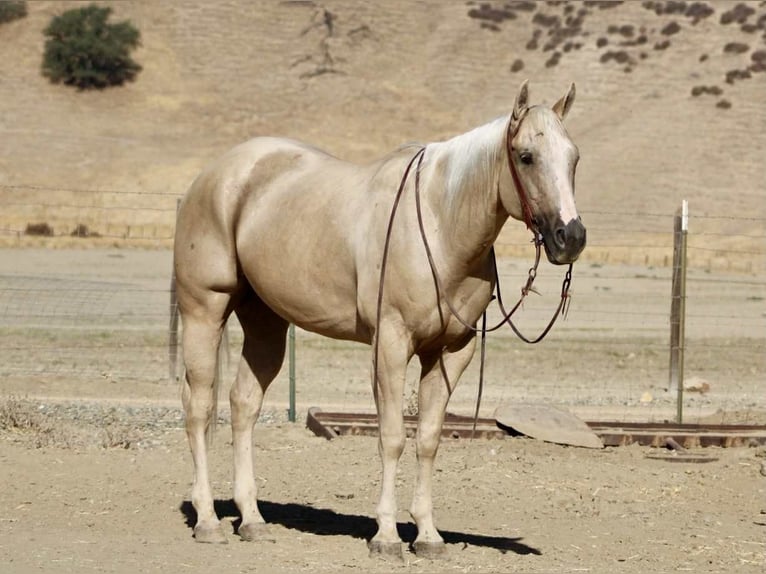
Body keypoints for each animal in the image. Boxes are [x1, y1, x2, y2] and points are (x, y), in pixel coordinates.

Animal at [173, 80, 586, 558]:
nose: (571, 238)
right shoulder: (390, 342)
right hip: (205, 310)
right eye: (526, 156)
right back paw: (208, 520)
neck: (440, 225)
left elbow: (428, 439)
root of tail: (214, 176)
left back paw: (252, 519)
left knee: (243, 405)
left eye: (574, 157)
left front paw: (428, 536)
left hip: (265, 322)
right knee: (200, 408)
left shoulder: (450, 352)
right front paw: (386, 536)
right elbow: (392, 437)